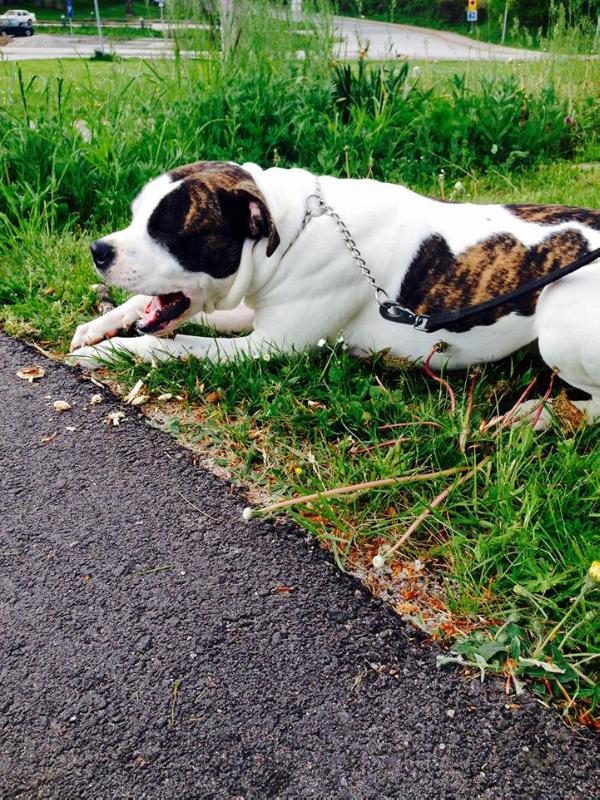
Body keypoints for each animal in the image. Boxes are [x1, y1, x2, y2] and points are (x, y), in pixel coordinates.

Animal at [69, 159, 600, 428]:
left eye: (168, 231)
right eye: (136, 216)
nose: (98, 250)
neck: (286, 230)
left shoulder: (265, 347)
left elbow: (169, 345)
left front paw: (110, 352)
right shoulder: (250, 312)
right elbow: (145, 310)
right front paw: (98, 326)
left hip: (560, 319)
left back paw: (539, 414)